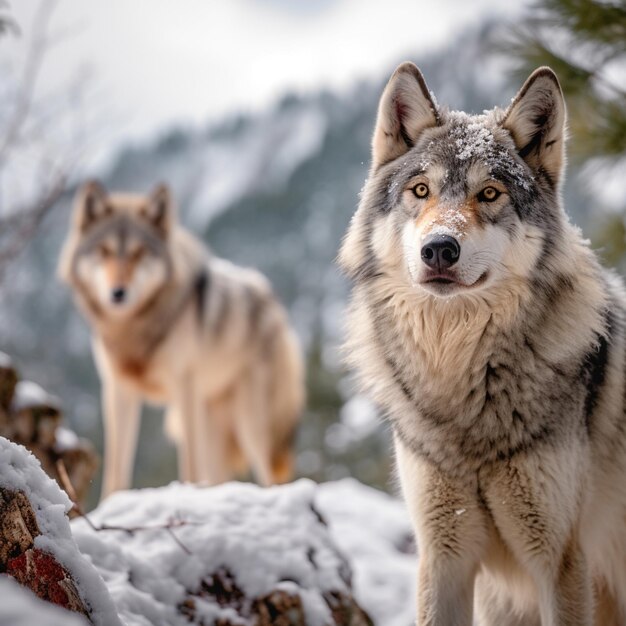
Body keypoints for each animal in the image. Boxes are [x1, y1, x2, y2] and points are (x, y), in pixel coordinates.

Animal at [59, 180, 304, 498]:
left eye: (139, 252)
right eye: (104, 251)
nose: (118, 293)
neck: (134, 328)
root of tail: (274, 302)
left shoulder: (184, 388)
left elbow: (188, 465)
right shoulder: (117, 390)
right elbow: (116, 471)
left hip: (249, 425)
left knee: (268, 475)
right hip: (213, 427)